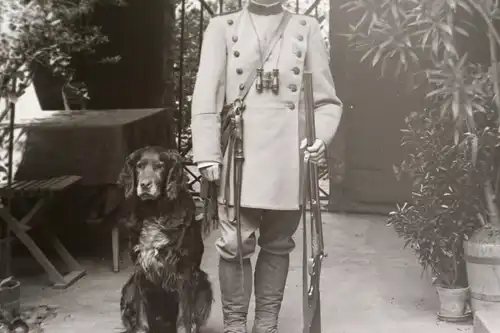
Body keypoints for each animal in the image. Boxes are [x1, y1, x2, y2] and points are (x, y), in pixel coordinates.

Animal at [117, 146, 213, 332]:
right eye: (139, 166)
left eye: (160, 166)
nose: (145, 184)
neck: (153, 211)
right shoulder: (140, 268)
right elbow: (141, 314)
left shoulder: (184, 270)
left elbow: (184, 315)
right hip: (128, 286)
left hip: (203, 283)